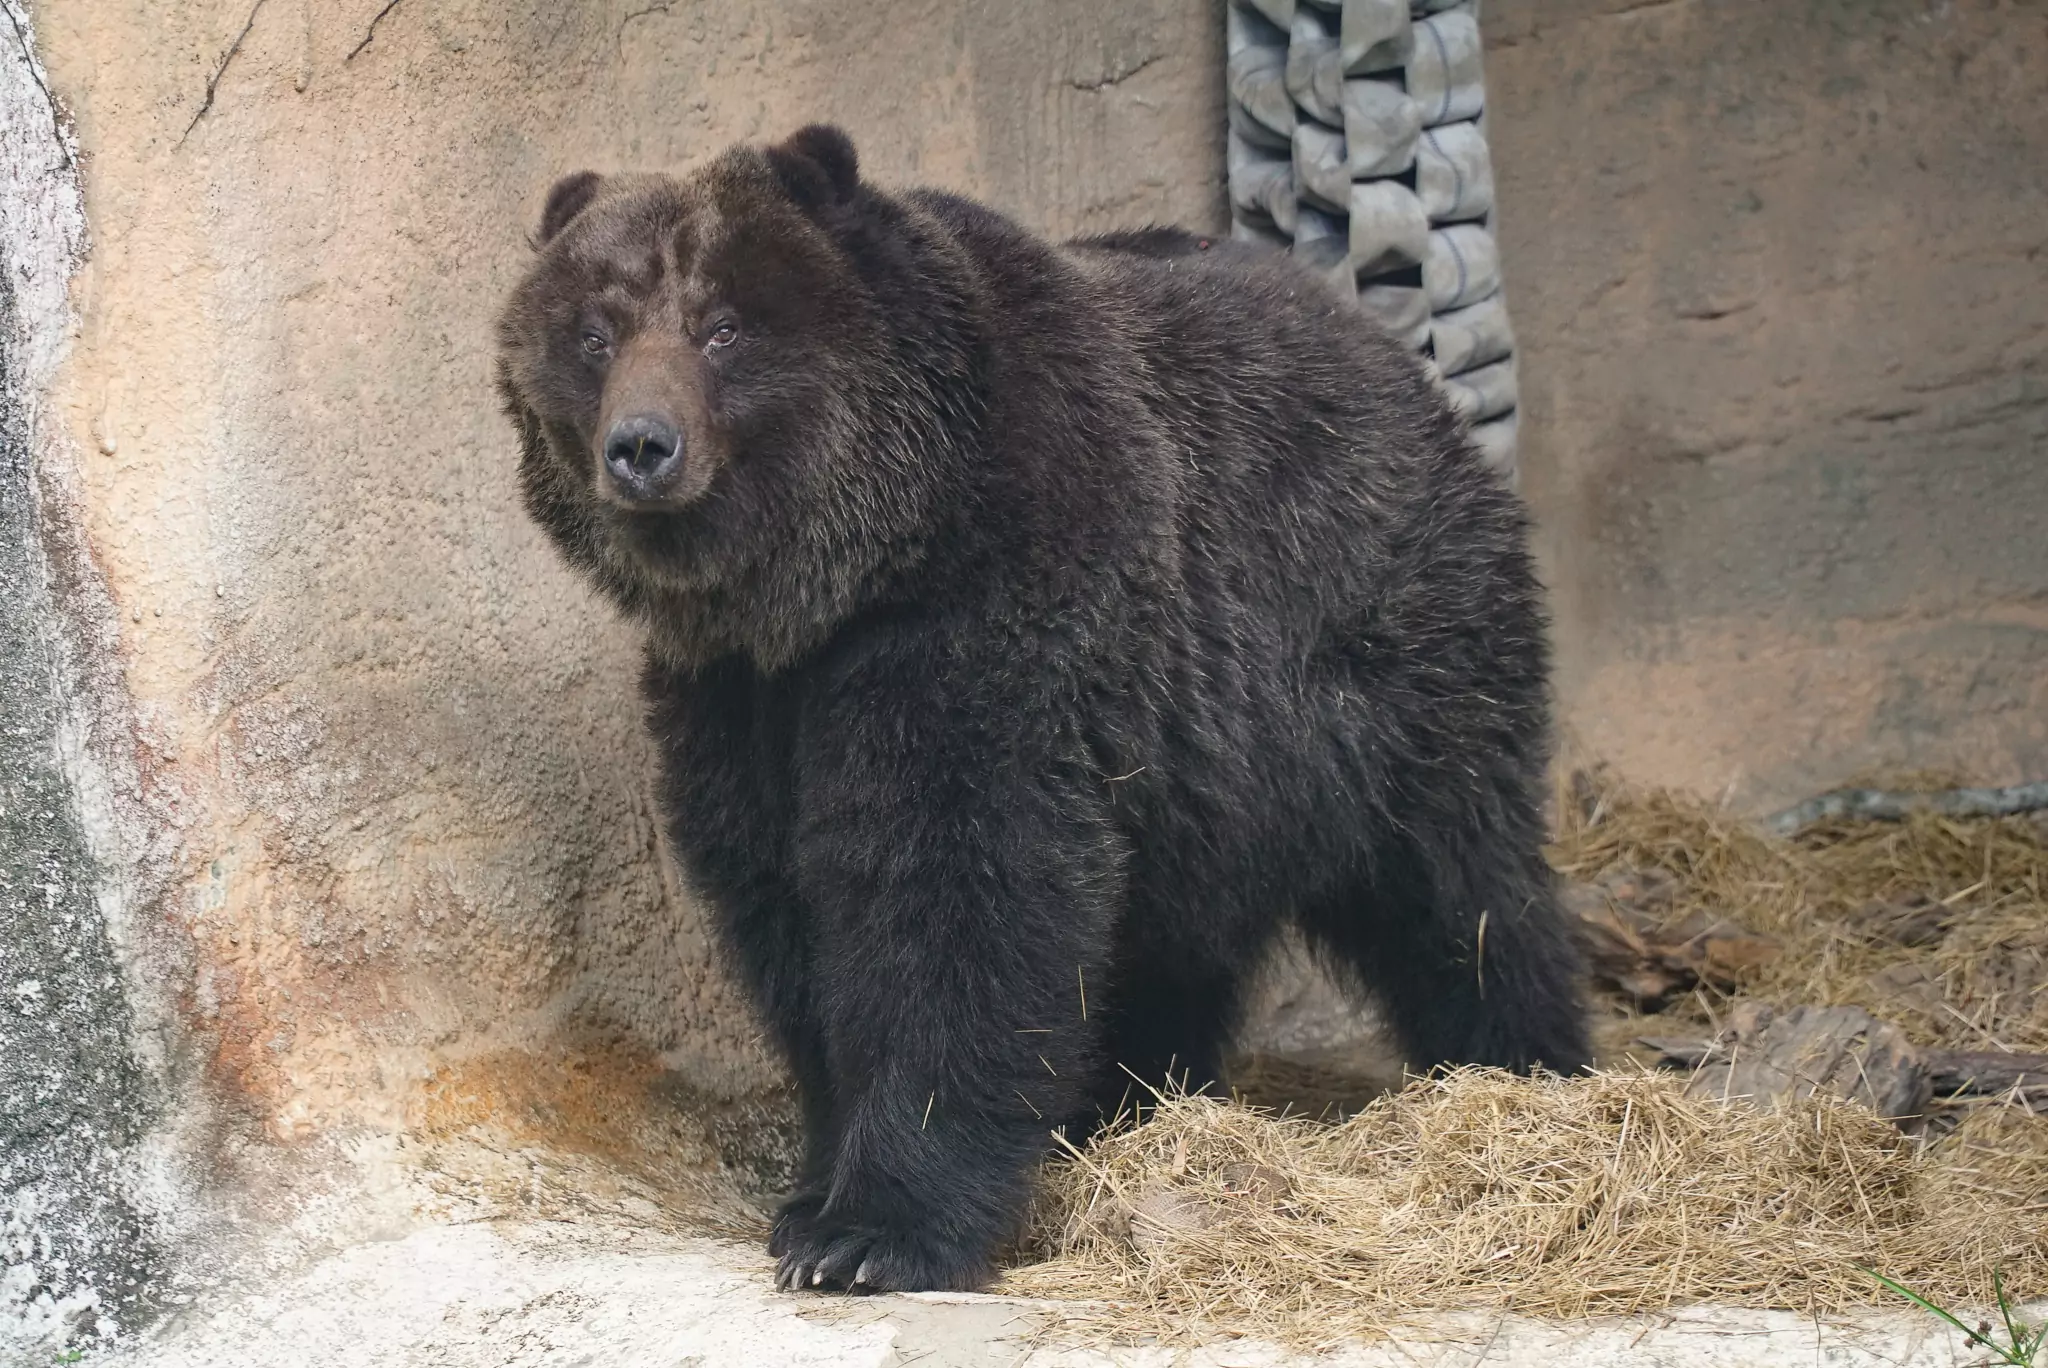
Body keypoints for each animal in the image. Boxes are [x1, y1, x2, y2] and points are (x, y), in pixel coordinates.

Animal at [494, 125, 1589, 1295]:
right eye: (594, 333)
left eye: (723, 325)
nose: (641, 446)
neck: (847, 575)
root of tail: (1391, 357)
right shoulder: (739, 700)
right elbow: (787, 910)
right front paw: (813, 1192)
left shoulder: (1000, 612)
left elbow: (960, 890)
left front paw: (872, 1232)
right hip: (1210, 772)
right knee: (1176, 938)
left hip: (1381, 654)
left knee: (1459, 886)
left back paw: (1525, 1065)